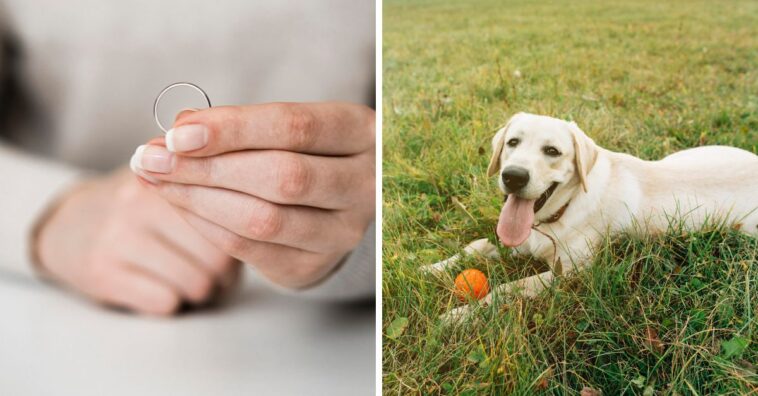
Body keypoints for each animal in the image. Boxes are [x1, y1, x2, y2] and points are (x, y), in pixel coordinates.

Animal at [428, 113, 758, 324]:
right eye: (512, 143)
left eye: (552, 151)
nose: (514, 176)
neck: (560, 213)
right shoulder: (520, 241)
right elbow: (475, 246)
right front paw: (431, 268)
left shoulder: (571, 273)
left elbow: (507, 289)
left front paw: (460, 316)